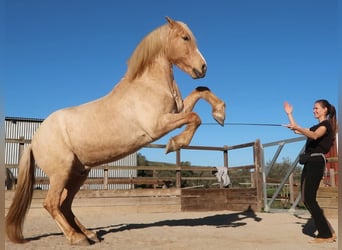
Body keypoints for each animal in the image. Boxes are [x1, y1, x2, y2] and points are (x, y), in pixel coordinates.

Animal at [5, 16, 226, 245]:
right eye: (185, 38)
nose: (203, 68)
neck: (148, 85)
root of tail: (34, 141)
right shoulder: (158, 125)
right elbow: (196, 117)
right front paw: (174, 144)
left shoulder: (176, 112)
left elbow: (201, 92)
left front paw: (219, 114)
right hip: (61, 173)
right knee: (51, 204)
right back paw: (77, 238)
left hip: (78, 174)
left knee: (65, 205)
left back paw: (90, 234)